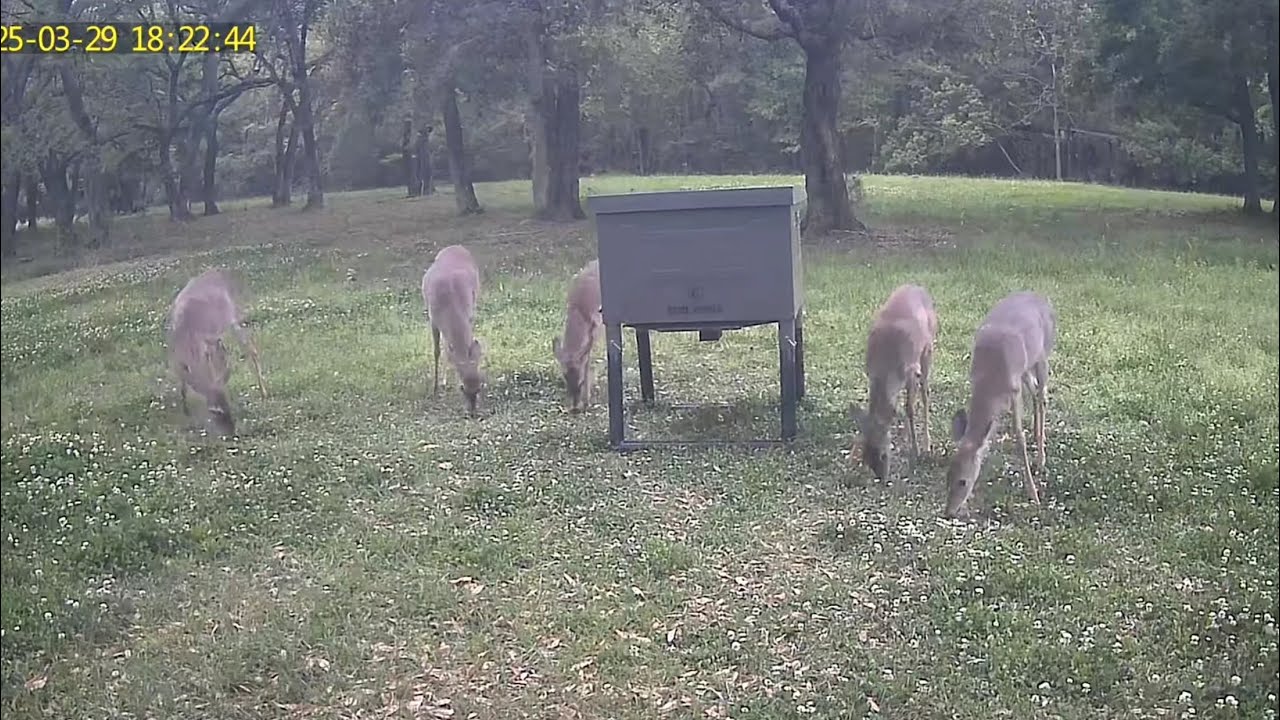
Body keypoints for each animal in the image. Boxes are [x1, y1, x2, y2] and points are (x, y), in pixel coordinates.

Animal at [167, 268, 267, 436]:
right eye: (217, 414)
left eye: (229, 408)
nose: (232, 432)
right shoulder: (178, 358)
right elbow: (183, 384)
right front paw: (186, 410)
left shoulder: (206, 346)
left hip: (234, 317)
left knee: (250, 348)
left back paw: (263, 393)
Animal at [422, 244, 485, 415]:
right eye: (462, 388)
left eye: (479, 388)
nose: (472, 412)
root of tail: (456, 246)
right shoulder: (433, 319)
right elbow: (437, 351)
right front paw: (435, 388)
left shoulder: (470, 314)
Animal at [552, 259, 603, 413]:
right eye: (565, 379)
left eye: (581, 382)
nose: (574, 408)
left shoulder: (594, 333)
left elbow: (587, 361)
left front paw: (587, 401)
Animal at [850, 284, 938, 480]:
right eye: (866, 456)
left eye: (883, 455)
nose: (882, 479)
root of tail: (919, 287)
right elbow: (896, 408)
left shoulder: (912, 371)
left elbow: (909, 408)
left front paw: (916, 450)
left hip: (928, 351)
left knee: (925, 394)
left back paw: (927, 445)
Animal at [944, 291, 1056, 519]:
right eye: (947, 477)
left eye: (963, 482)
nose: (948, 512)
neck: (989, 379)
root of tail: (1041, 297)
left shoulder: (1014, 391)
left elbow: (1019, 436)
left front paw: (1034, 495)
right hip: (1026, 368)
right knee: (1036, 391)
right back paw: (1036, 436)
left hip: (1043, 355)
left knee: (1042, 395)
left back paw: (1041, 459)